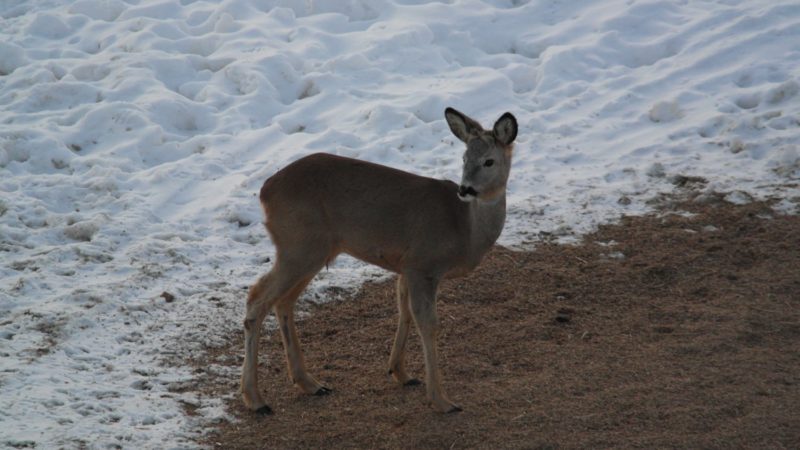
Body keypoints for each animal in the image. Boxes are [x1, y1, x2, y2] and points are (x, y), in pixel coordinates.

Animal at [241, 106, 520, 414]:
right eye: (464, 158)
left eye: (488, 161)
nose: (465, 189)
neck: (465, 230)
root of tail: (265, 192)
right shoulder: (423, 263)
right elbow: (428, 324)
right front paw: (441, 399)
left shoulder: (405, 267)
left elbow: (404, 311)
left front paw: (401, 372)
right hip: (298, 246)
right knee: (257, 298)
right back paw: (256, 399)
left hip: (312, 250)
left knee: (283, 302)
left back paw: (310, 383)